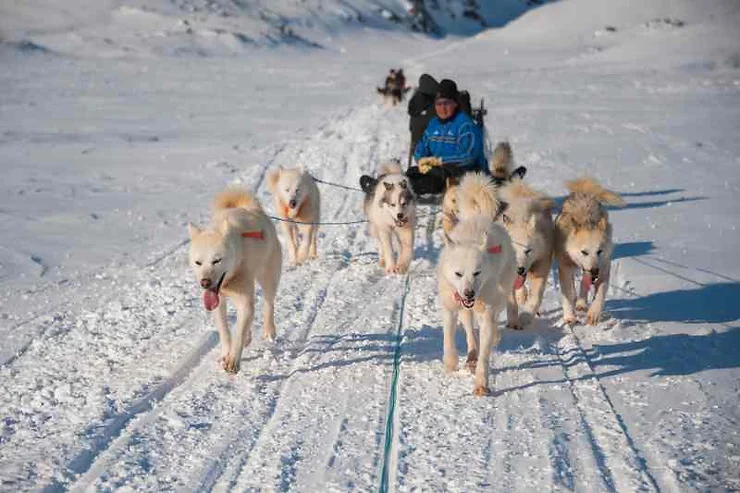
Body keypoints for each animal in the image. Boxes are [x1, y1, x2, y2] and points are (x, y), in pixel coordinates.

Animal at [189, 188, 282, 372]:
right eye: (198, 262)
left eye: (217, 260)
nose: (205, 282)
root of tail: (252, 208)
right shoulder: (218, 304)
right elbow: (225, 332)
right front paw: (226, 353)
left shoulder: (245, 301)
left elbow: (238, 332)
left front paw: (233, 361)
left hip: (268, 276)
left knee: (268, 303)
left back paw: (269, 330)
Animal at [498, 180, 556, 326]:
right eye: (512, 250)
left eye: (528, 250)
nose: (519, 270)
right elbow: (511, 302)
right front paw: (513, 323)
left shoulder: (541, 269)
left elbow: (535, 298)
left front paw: (525, 317)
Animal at [556, 178, 624, 326]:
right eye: (584, 252)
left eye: (599, 251)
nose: (594, 271)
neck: (586, 221)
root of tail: (584, 193)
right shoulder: (564, 267)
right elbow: (567, 293)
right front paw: (569, 317)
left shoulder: (604, 268)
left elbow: (600, 293)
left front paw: (594, 313)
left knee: (583, 283)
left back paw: (582, 303)